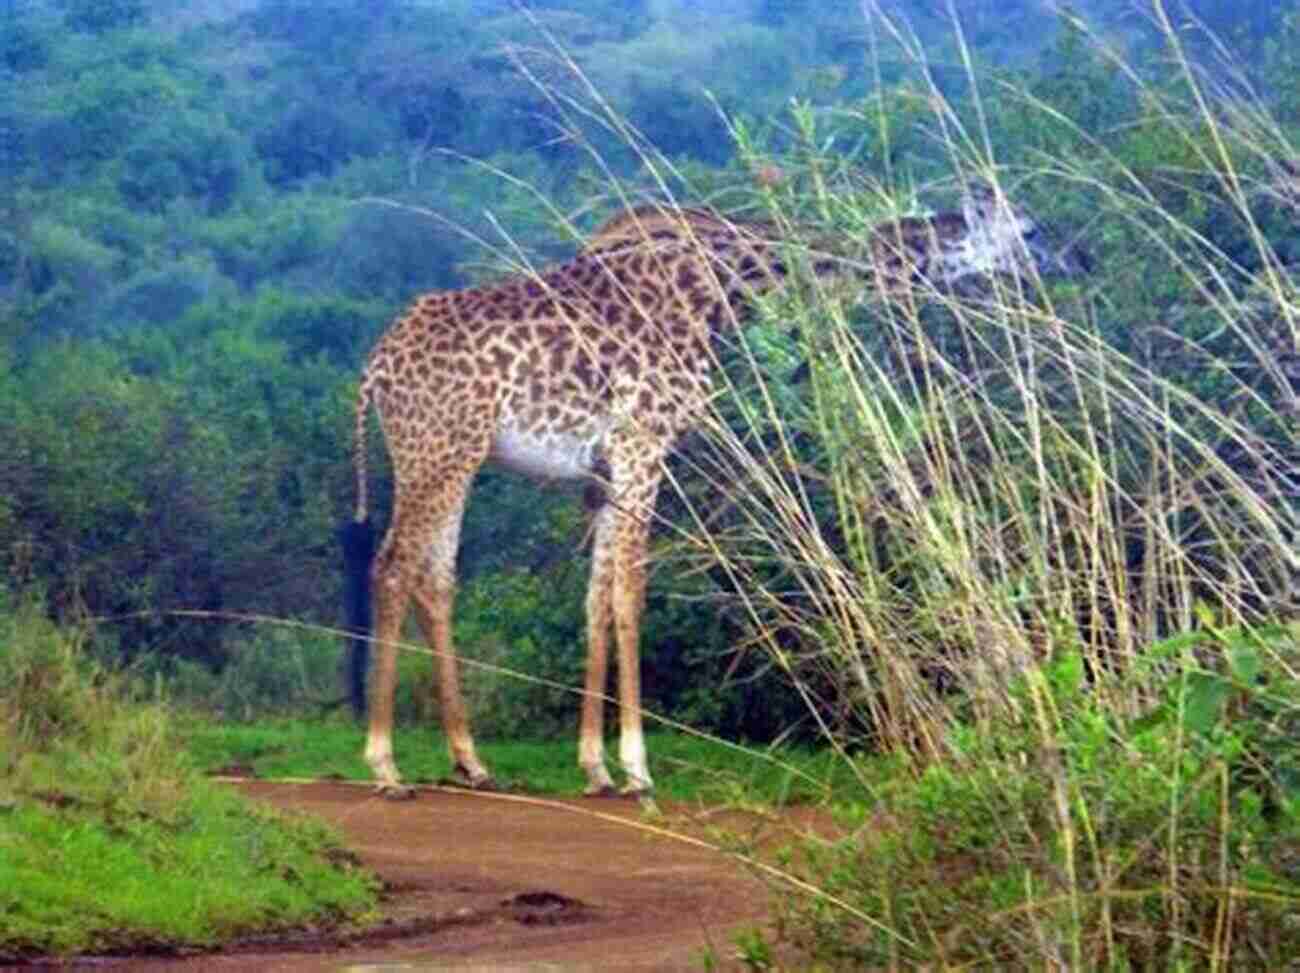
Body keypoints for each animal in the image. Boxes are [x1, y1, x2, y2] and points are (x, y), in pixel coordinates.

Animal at [338, 182, 1086, 796]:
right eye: (1030, 230)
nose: (1071, 263)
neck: (725, 287)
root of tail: (375, 369)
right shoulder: (645, 443)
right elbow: (630, 594)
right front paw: (636, 767)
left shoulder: (605, 468)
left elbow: (596, 597)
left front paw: (596, 767)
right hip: (438, 451)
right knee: (393, 566)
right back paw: (385, 764)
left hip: (454, 459)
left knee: (436, 577)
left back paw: (470, 760)